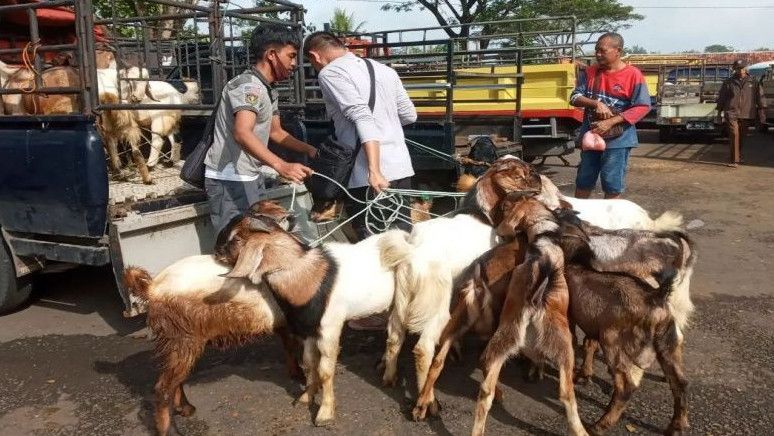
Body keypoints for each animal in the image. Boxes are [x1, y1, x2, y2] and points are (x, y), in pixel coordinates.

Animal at [123, 255, 302, 436]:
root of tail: (152, 288)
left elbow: (290, 347)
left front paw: (296, 374)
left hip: (175, 340)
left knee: (174, 377)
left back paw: (187, 408)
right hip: (183, 336)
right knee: (164, 387)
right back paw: (172, 431)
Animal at [224, 211, 406, 426]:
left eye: (236, 238)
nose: (218, 251)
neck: (311, 279)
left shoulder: (329, 329)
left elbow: (325, 370)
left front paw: (325, 413)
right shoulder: (309, 331)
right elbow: (310, 362)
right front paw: (306, 396)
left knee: (395, 338)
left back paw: (389, 377)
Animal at [378, 155, 544, 414]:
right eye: (519, 173)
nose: (539, 176)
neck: (480, 213)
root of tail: (414, 253)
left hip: (401, 302)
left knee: (394, 339)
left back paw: (390, 377)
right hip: (436, 306)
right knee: (423, 349)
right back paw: (428, 402)